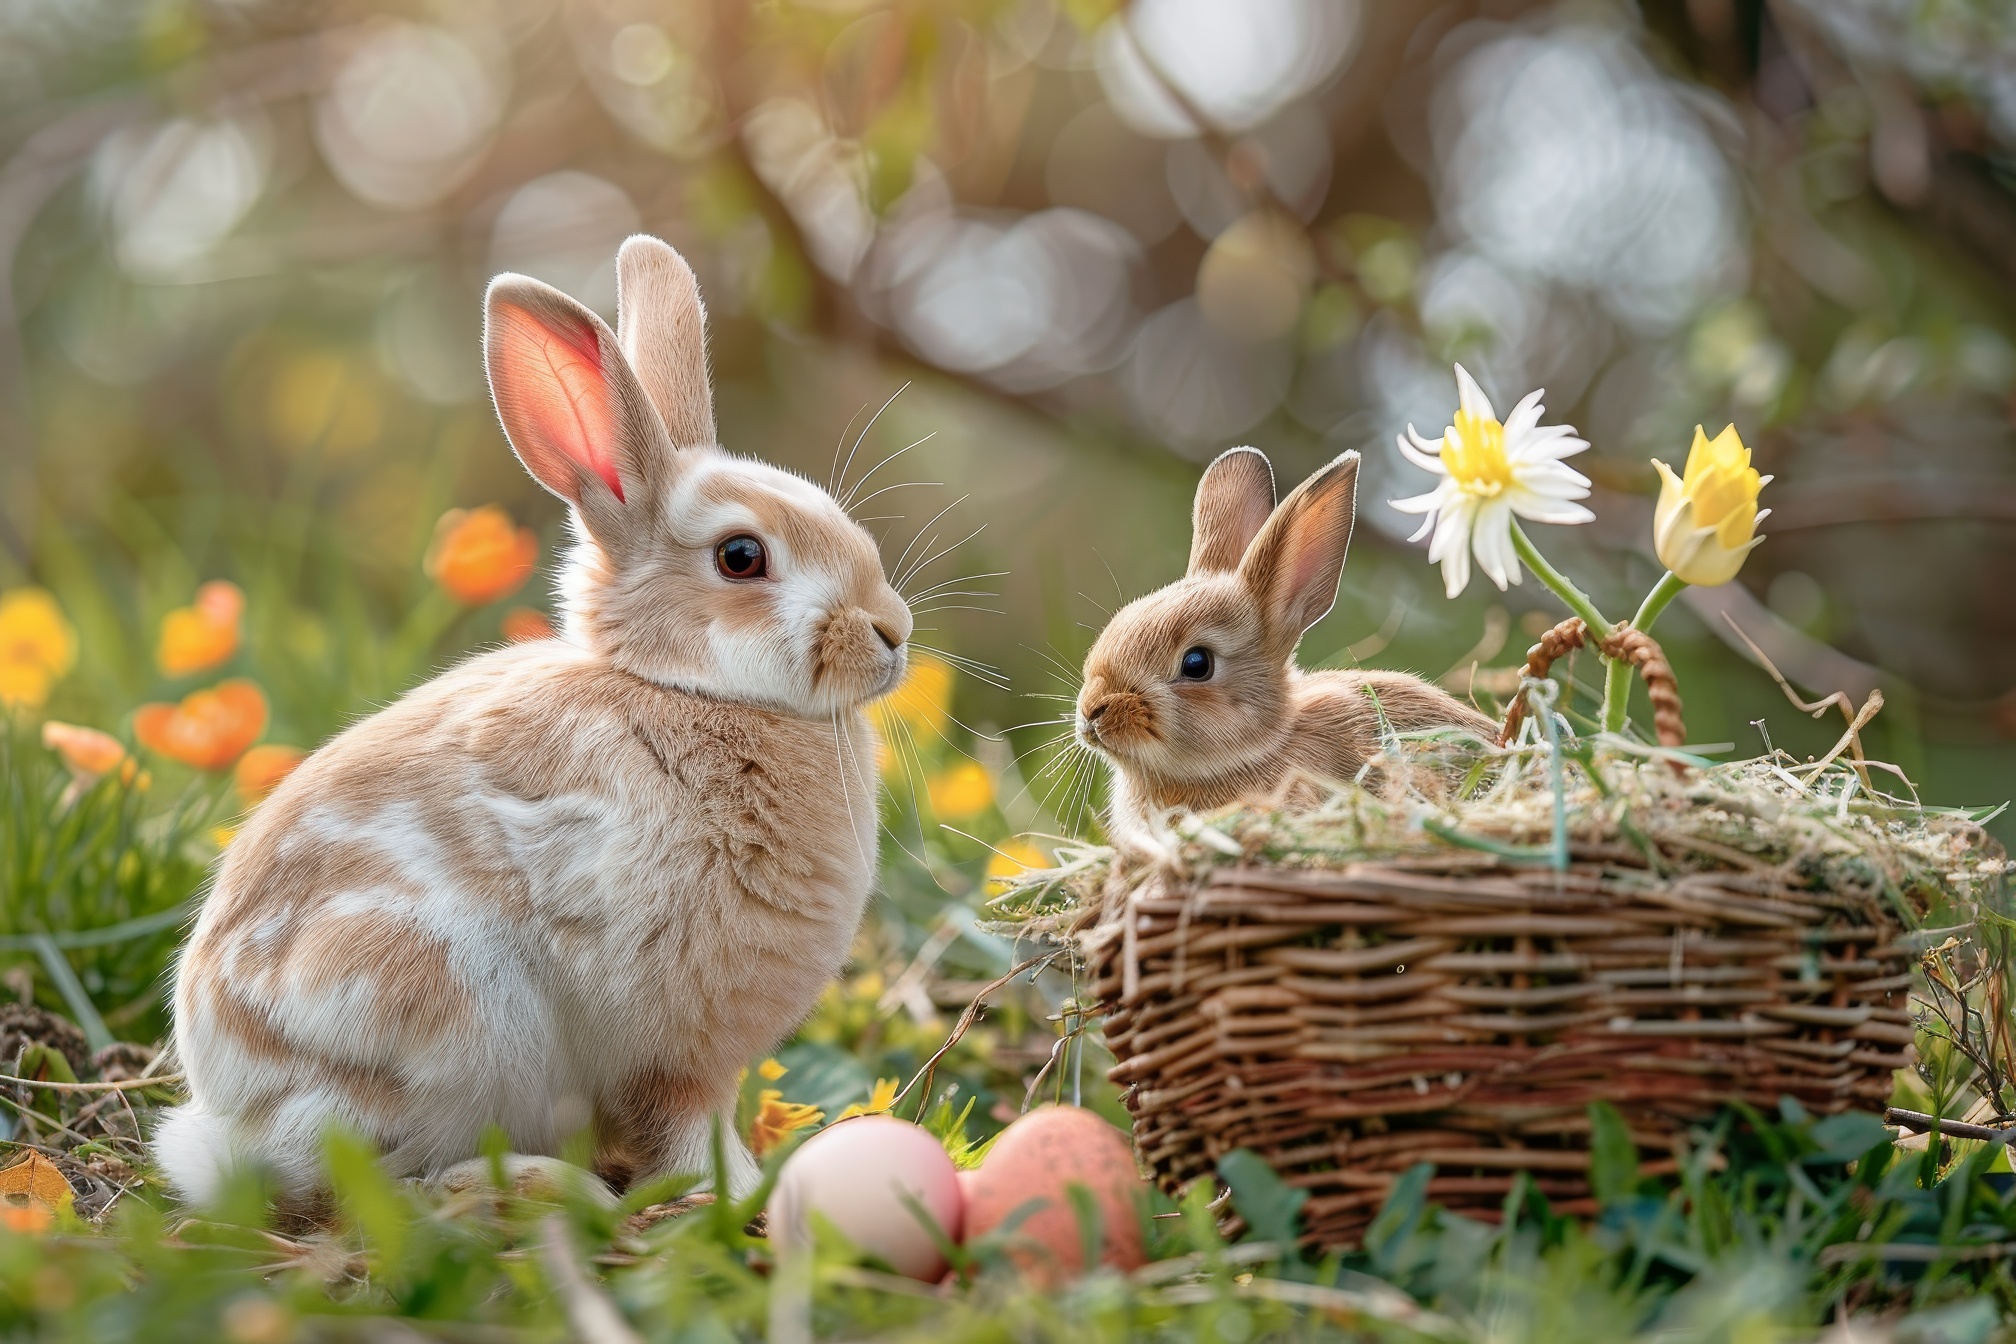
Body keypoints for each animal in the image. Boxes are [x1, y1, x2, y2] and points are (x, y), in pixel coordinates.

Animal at [153, 238, 911, 1208]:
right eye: (742, 557)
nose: (893, 633)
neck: (691, 693)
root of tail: (227, 1124)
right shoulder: (675, 1046)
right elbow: (686, 1122)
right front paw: (737, 1193)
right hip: (443, 1018)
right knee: (373, 1182)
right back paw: (537, 1189)